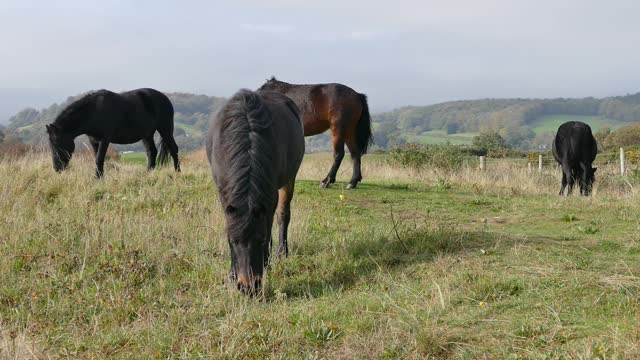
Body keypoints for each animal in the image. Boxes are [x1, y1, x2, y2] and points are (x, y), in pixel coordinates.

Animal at [45, 87, 180, 177]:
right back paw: (149, 173)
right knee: (151, 152)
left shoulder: (105, 139)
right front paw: (100, 177)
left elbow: (99, 158)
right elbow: (97, 158)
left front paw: (98, 178)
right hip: (147, 134)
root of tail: (165, 98)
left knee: (173, 149)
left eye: (58, 143)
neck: (94, 112)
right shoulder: (93, 140)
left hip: (165, 130)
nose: (57, 168)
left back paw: (177, 172)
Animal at [206, 88, 304, 294]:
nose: (248, 287)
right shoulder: (224, 194)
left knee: (283, 215)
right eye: (232, 241)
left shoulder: (270, 196)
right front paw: (231, 275)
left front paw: (267, 263)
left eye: (261, 240)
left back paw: (282, 253)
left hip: (289, 180)